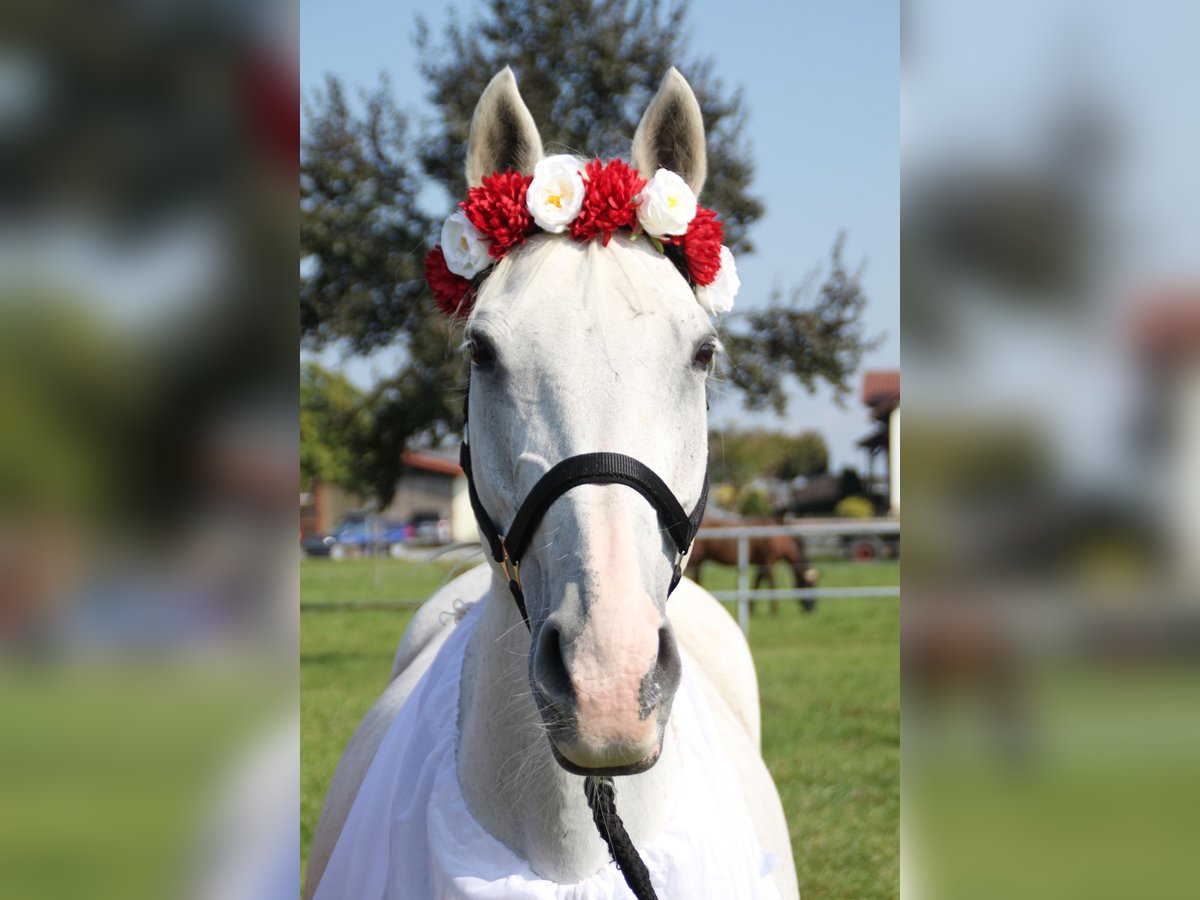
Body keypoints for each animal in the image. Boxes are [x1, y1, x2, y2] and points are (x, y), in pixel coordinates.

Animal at [691, 513, 820, 614]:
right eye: (808, 584)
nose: (812, 608)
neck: (777, 537)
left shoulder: (761, 563)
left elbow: (756, 584)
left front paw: (750, 609)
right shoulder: (769, 562)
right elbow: (771, 584)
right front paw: (774, 610)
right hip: (696, 559)